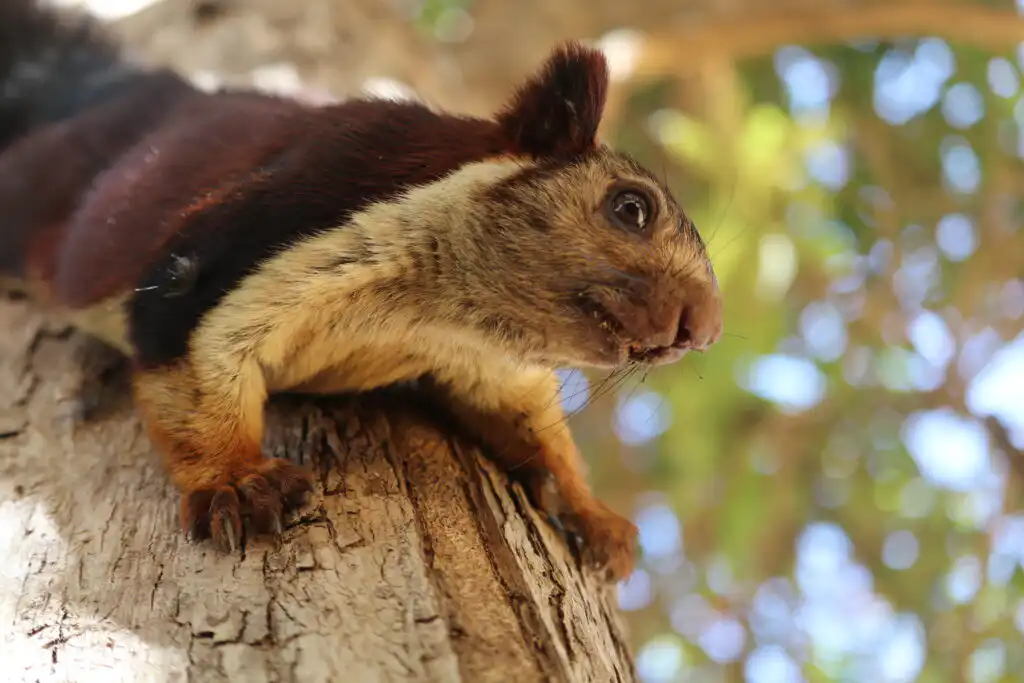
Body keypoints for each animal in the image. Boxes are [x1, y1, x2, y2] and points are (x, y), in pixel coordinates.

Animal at [0, 0, 723, 581]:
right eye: (631, 207)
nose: (707, 327)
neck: (430, 315)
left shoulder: (486, 363)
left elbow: (531, 421)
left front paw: (590, 510)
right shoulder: (239, 248)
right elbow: (186, 361)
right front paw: (238, 481)